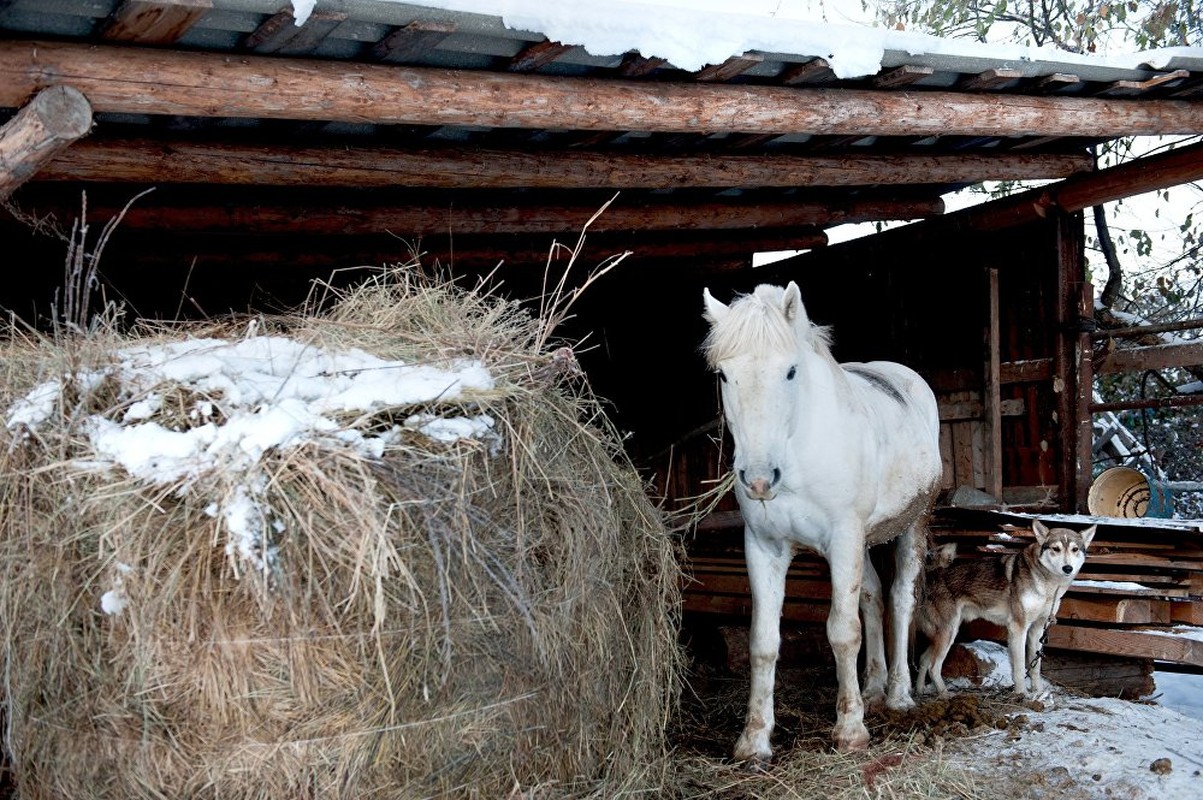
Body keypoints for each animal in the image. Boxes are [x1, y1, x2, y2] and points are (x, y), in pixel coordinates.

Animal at [702, 280, 943, 755]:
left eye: (791, 372)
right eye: (722, 375)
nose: (759, 479)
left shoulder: (845, 537)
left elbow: (842, 631)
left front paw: (850, 730)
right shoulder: (764, 547)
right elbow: (763, 641)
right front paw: (754, 740)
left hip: (912, 525)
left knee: (900, 599)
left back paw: (898, 695)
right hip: (865, 540)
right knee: (872, 595)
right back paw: (874, 688)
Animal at [914, 522, 1097, 697]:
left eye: (1074, 549)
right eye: (1056, 549)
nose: (1068, 568)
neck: (1048, 586)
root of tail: (931, 573)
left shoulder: (1037, 629)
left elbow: (1035, 668)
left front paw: (1037, 693)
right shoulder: (1018, 628)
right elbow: (1020, 668)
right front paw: (1022, 694)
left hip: (945, 634)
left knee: (923, 660)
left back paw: (919, 690)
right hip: (948, 632)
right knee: (933, 667)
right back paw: (945, 695)